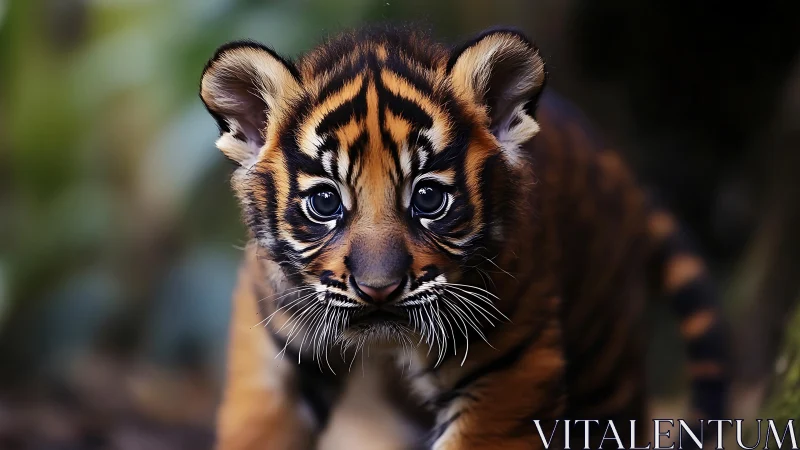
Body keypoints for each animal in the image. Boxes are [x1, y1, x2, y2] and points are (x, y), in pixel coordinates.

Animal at [199, 25, 728, 450]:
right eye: (325, 202)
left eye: (429, 198)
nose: (378, 289)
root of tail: (623, 172)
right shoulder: (272, 351)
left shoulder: (509, 370)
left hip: (605, 364)